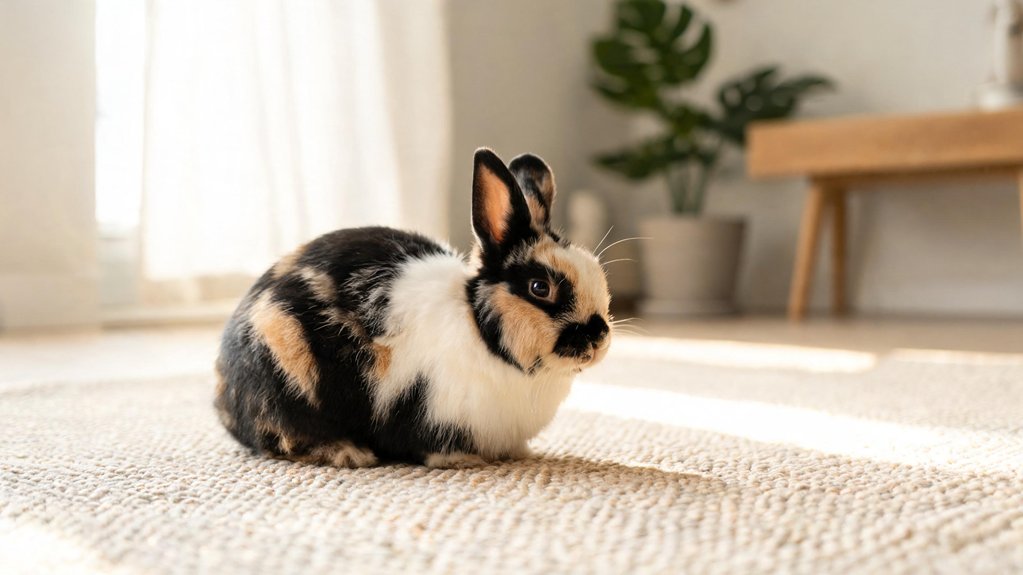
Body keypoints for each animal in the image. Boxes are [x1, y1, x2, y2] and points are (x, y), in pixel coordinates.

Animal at [214, 149, 612, 468]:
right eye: (540, 288)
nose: (600, 337)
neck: (481, 331)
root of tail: (224, 398)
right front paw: (461, 461)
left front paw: (519, 454)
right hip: (287, 380)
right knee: (286, 437)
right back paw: (349, 454)